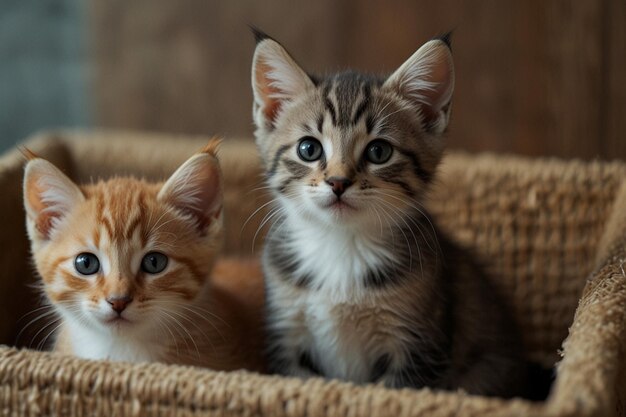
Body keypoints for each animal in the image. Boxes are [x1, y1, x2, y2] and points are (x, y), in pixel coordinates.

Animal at [249, 30, 528, 394]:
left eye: (378, 151)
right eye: (308, 149)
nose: (338, 182)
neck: (342, 245)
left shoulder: (417, 348)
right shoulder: (286, 338)